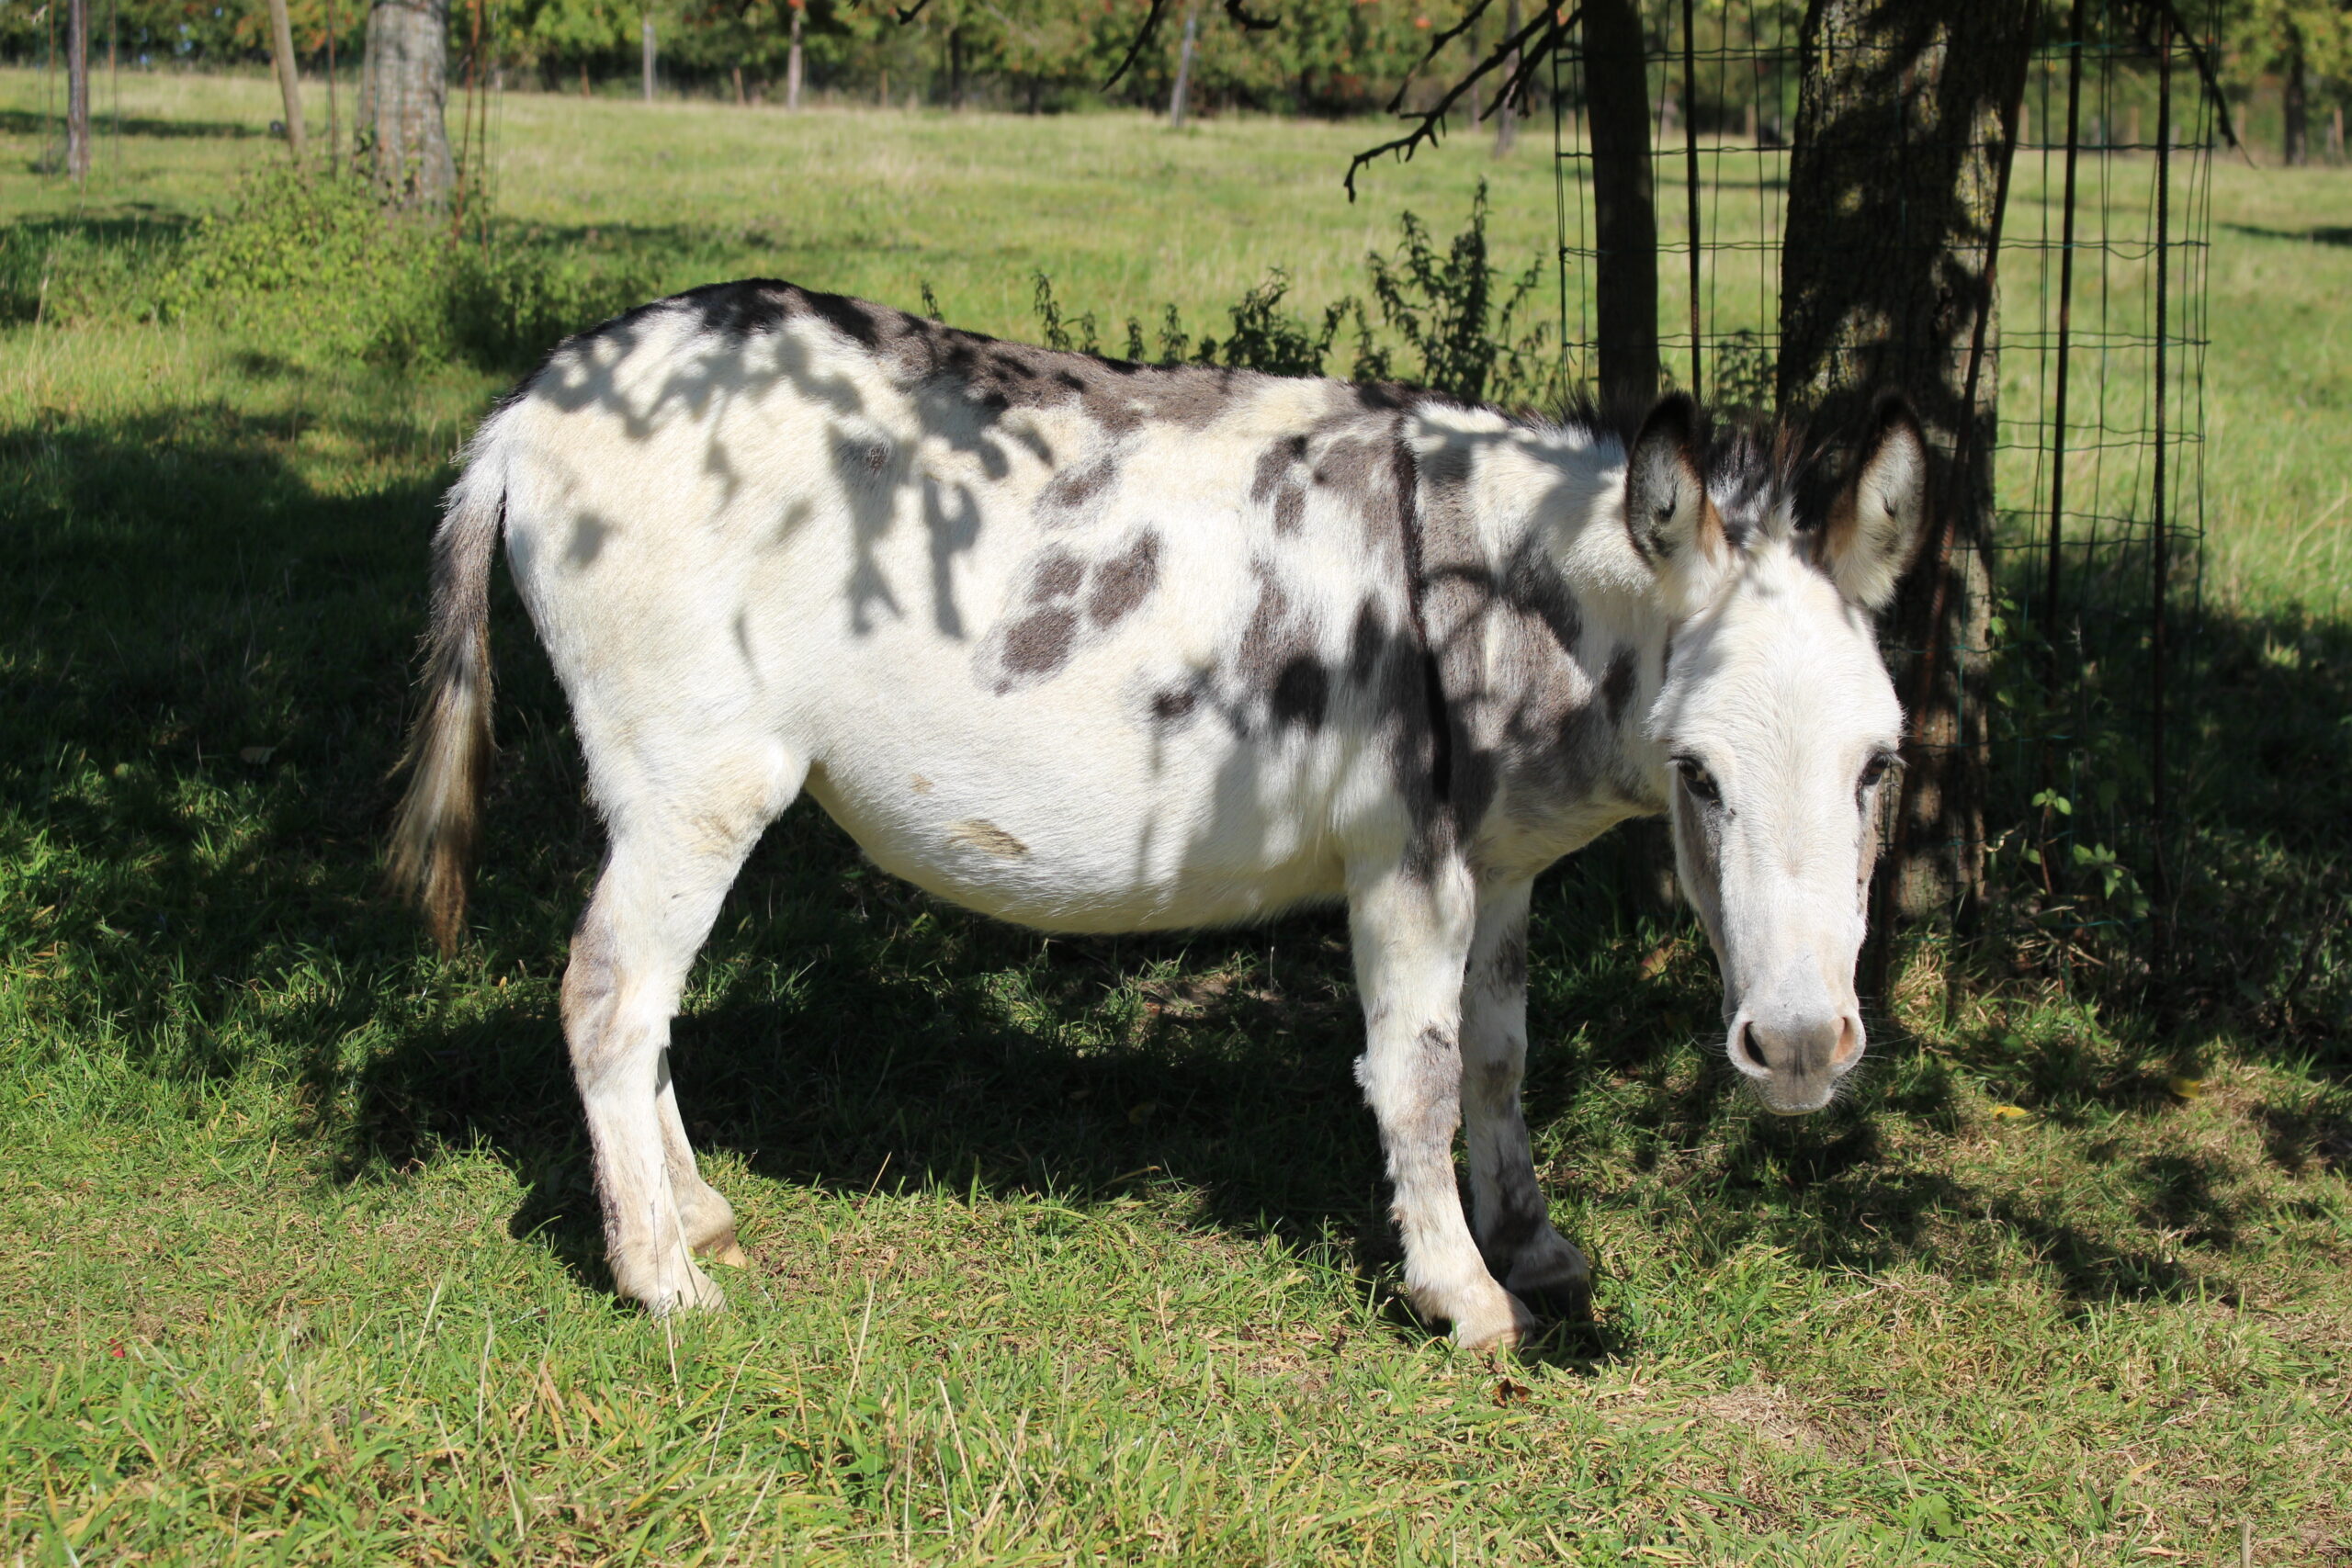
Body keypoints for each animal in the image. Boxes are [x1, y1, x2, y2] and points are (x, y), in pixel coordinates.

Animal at [389, 280, 1927, 1350]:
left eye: (1879, 766)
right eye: (1701, 772)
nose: (1801, 1048)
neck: (1493, 590)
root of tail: (529, 407)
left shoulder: (1501, 867)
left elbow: (1498, 1058)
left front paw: (1536, 1247)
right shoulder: (1404, 861)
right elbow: (1418, 1074)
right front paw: (1461, 1292)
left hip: (686, 797)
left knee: (643, 997)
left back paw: (690, 1207)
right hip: (697, 780)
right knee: (608, 991)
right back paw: (658, 1273)